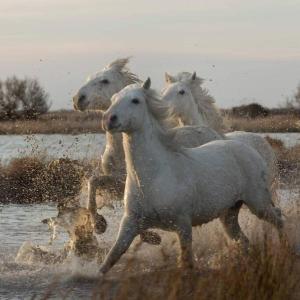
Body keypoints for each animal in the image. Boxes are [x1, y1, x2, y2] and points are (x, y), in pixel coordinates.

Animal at [99, 79, 286, 274]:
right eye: (113, 98)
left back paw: (284, 251)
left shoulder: (182, 224)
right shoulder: (130, 224)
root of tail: (251, 149)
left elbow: (187, 261)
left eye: (135, 100)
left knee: (279, 219)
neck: (153, 177)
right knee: (243, 240)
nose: (108, 119)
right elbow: (111, 258)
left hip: (258, 203)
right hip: (229, 213)